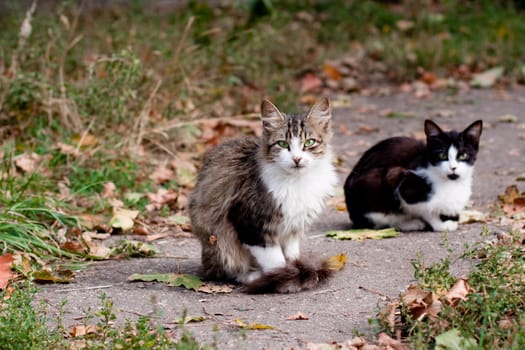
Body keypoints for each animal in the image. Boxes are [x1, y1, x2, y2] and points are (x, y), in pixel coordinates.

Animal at [190, 98, 338, 292]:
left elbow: (291, 256)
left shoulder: (293, 228)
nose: (296, 159)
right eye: (283, 144)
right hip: (218, 239)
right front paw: (282, 278)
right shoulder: (252, 225)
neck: (296, 182)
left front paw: (294, 272)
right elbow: (275, 262)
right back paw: (253, 276)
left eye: (309, 143)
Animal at [344, 119, 484, 231]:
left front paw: (452, 218)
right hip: (372, 184)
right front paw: (441, 225)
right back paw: (411, 224)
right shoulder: (402, 183)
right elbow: (426, 210)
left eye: (463, 155)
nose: (453, 168)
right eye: (442, 155)